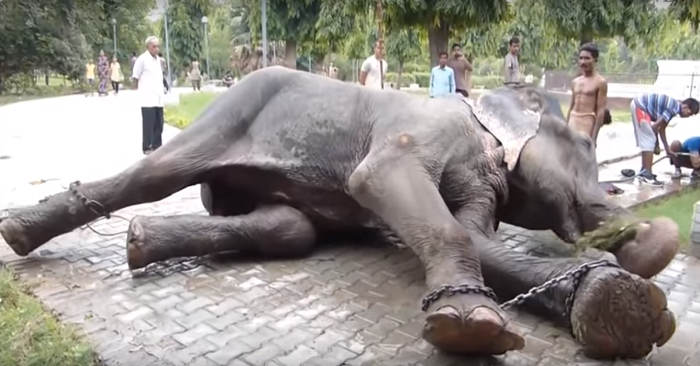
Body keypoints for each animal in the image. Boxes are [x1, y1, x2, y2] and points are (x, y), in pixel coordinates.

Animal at [0, 66, 680, 360]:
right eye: (586, 148)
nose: (656, 233)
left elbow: (481, 238)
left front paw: (621, 306)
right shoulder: (420, 136)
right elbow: (383, 185)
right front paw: (471, 326)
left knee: (290, 228)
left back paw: (141, 242)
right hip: (234, 110)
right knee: (153, 177)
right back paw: (23, 230)